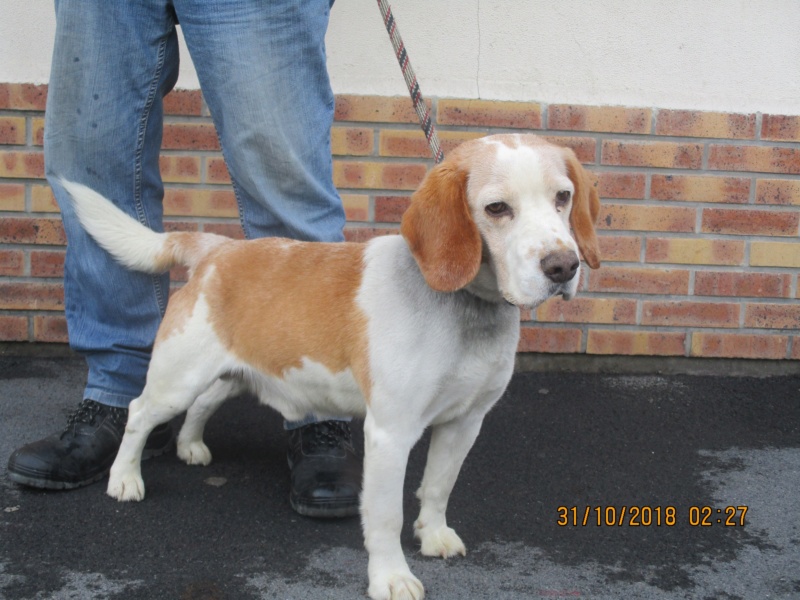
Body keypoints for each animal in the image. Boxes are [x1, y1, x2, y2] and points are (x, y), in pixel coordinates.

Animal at [61, 135, 600, 600]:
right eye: (496, 209)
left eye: (563, 197)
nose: (563, 266)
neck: (467, 310)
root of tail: (219, 248)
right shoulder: (391, 433)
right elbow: (384, 517)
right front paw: (391, 578)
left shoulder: (465, 422)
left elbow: (438, 487)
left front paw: (434, 535)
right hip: (177, 378)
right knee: (137, 412)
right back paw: (124, 478)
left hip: (232, 375)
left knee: (203, 404)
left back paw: (191, 445)